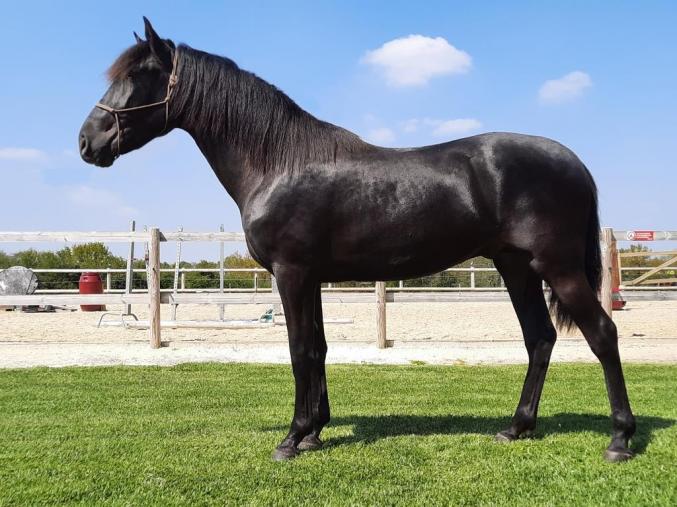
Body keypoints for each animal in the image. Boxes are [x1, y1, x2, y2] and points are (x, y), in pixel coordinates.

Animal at [79, 18, 636, 462]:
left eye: (136, 76)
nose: (87, 142)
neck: (278, 162)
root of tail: (574, 163)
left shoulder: (293, 273)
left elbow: (299, 349)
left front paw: (292, 438)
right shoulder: (313, 278)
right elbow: (319, 348)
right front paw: (314, 431)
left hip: (557, 268)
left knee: (602, 335)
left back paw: (620, 440)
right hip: (516, 267)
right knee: (539, 338)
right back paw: (517, 428)